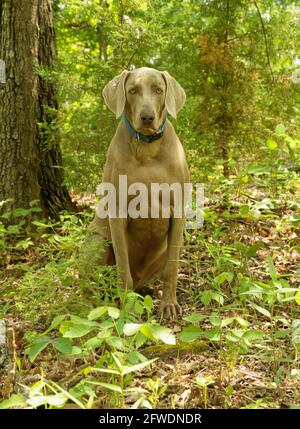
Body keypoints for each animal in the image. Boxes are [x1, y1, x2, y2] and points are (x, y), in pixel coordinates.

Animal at [81, 67, 190, 318]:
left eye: (158, 90)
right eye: (132, 91)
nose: (147, 117)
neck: (147, 147)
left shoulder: (178, 211)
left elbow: (171, 269)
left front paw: (169, 304)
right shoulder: (118, 214)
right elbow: (123, 269)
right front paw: (128, 308)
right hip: (96, 241)